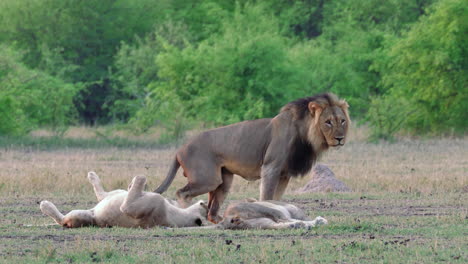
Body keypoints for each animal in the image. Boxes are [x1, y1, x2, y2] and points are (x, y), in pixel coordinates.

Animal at [39, 172, 207, 228]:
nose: (204, 201)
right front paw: (133, 184)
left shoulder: (134, 207)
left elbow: (141, 177)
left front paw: (136, 181)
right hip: (111, 196)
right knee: (103, 194)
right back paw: (92, 175)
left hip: (83, 217)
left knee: (62, 220)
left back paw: (45, 205)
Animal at [155, 93, 350, 223]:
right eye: (328, 122)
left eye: (342, 120)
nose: (340, 138)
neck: (304, 134)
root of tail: (179, 150)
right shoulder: (271, 168)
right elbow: (267, 196)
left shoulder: (284, 174)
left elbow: (276, 198)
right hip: (207, 178)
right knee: (182, 193)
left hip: (223, 180)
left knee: (212, 208)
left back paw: (219, 219)